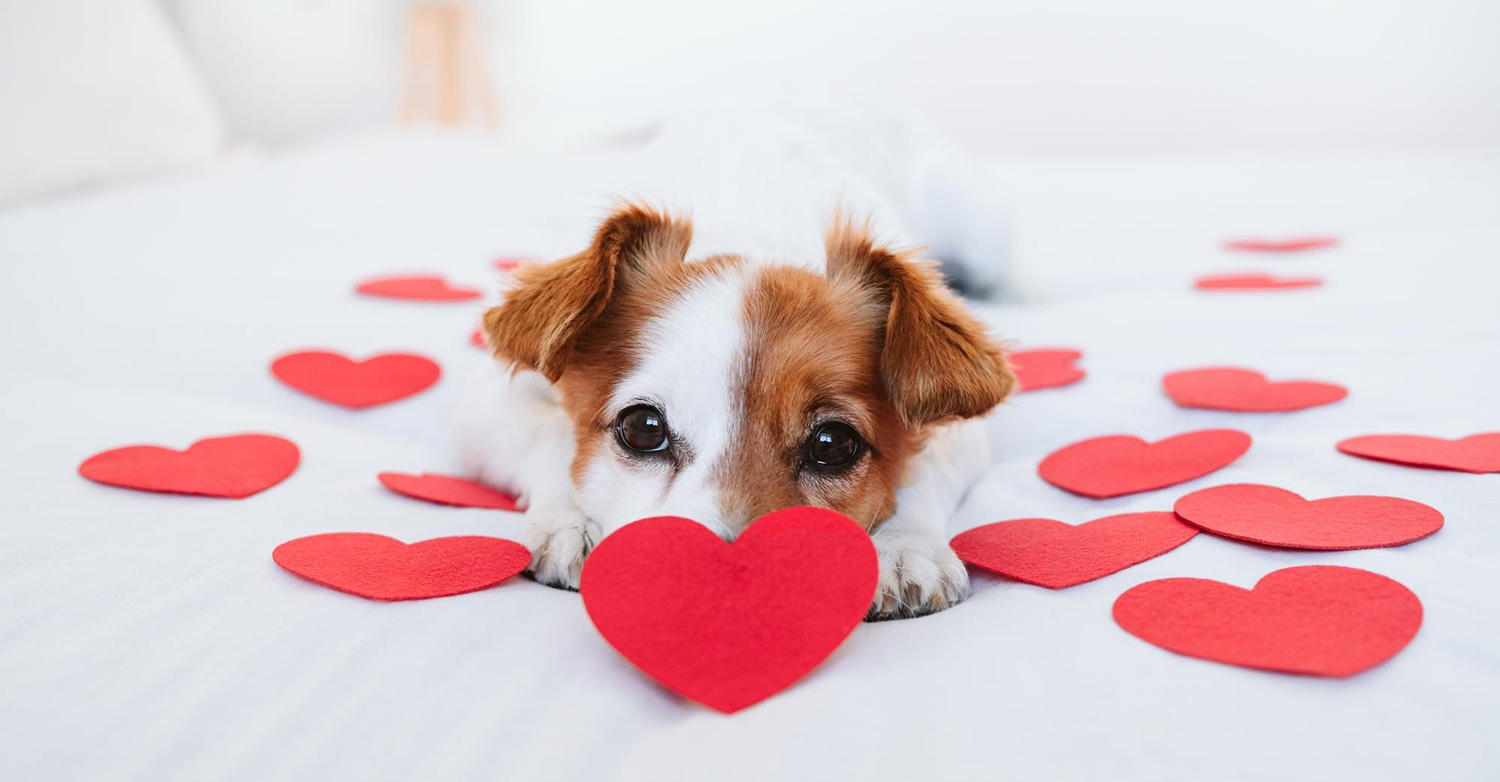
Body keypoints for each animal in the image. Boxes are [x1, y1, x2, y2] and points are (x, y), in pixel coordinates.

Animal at [456, 202, 1014, 621]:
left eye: (833, 444)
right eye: (642, 428)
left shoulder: (963, 431)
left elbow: (922, 472)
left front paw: (903, 546)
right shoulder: (484, 411)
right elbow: (551, 436)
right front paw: (571, 521)